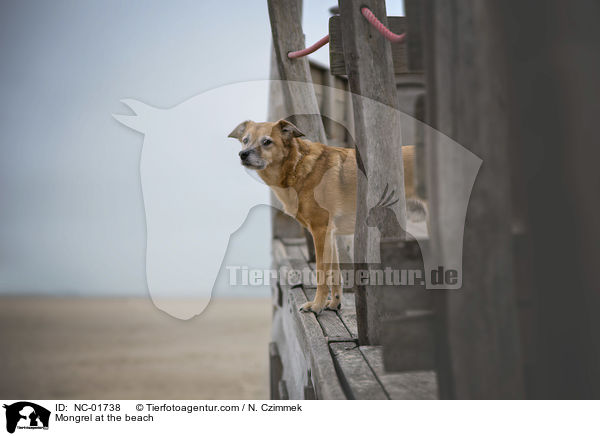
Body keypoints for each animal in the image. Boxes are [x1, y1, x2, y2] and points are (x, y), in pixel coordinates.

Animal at [230, 121, 418, 316]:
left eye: (267, 141)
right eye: (245, 140)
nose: (243, 154)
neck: (297, 166)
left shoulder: (320, 231)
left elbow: (322, 273)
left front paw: (316, 305)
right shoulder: (331, 235)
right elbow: (335, 274)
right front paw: (334, 303)